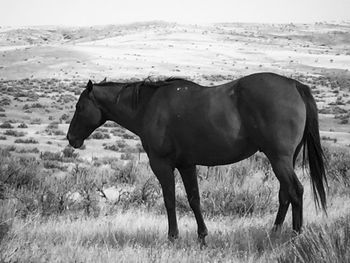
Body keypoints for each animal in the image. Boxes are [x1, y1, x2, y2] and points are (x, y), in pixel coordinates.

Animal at [67, 71, 326, 245]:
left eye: (79, 107)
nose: (71, 138)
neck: (148, 107)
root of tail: (295, 85)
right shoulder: (186, 165)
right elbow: (194, 200)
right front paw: (202, 237)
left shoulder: (162, 165)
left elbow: (170, 201)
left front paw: (173, 237)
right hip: (284, 160)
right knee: (285, 195)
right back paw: (274, 233)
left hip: (279, 159)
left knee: (296, 191)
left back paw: (295, 237)